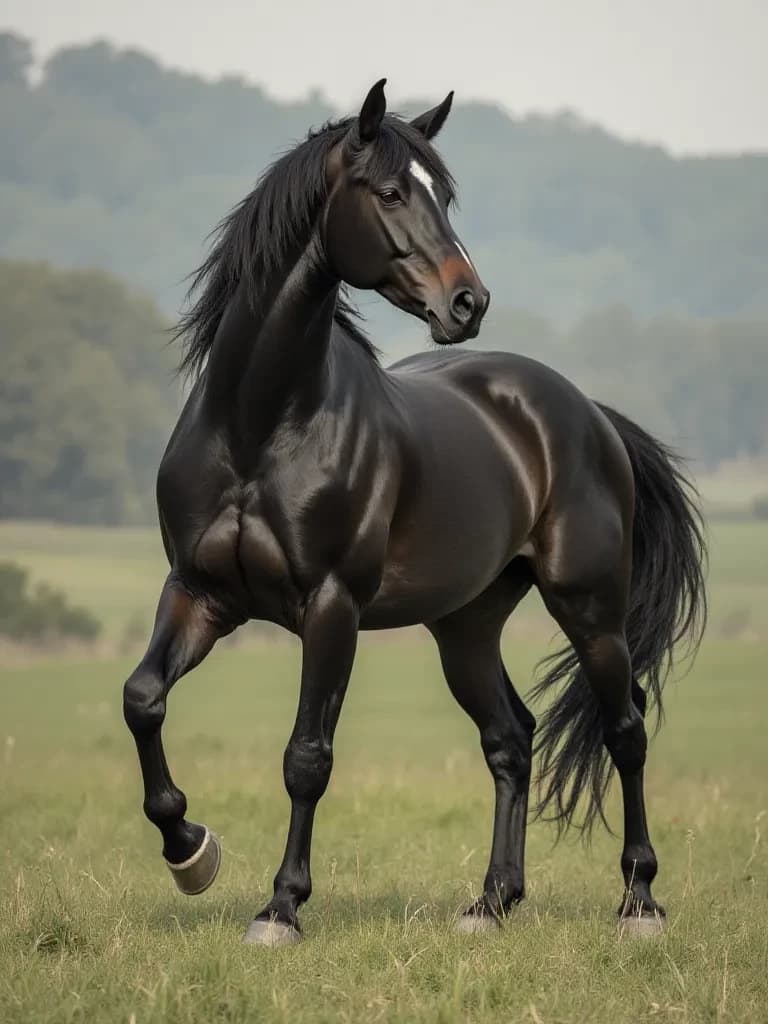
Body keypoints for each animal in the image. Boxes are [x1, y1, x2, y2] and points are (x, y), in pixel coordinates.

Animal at [122, 80, 706, 946]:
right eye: (391, 192)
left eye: (443, 195)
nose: (469, 301)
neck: (260, 424)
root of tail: (586, 413)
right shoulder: (199, 592)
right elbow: (143, 700)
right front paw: (191, 852)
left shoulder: (330, 606)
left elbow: (308, 756)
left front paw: (281, 908)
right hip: (465, 625)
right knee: (511, 738)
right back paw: (491, 903)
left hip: (589, 607)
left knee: (624, 729)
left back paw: (639, 901)